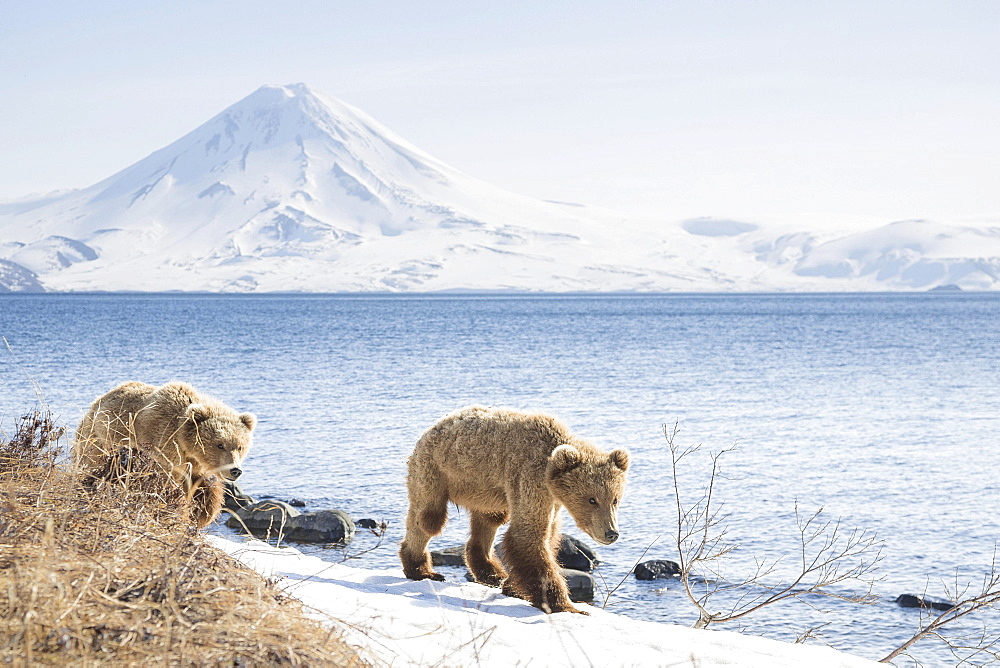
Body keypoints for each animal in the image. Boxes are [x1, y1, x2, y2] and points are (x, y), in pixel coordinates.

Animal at [73, 380, 256, 528]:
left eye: (240, 447)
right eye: (220, 445)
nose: (235, 470)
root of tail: (96, 402)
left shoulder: (195, 467)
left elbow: (204, 491)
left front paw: (200, 514)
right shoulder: (162, 446)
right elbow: (166, 486)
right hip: (97, 440)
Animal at [396, 404, 624, 612]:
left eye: (615, 499)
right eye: (592, 500)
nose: (611, 533)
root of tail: (431, 428)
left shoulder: (552, 500)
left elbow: (548, 536)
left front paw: (512, 587)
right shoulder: (529, 477)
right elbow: (528, 536)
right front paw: (566, 605)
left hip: (484, 489)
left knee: (489, 520)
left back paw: (492, 572)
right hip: (436, 470)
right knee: (428, 517)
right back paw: (421, 569)